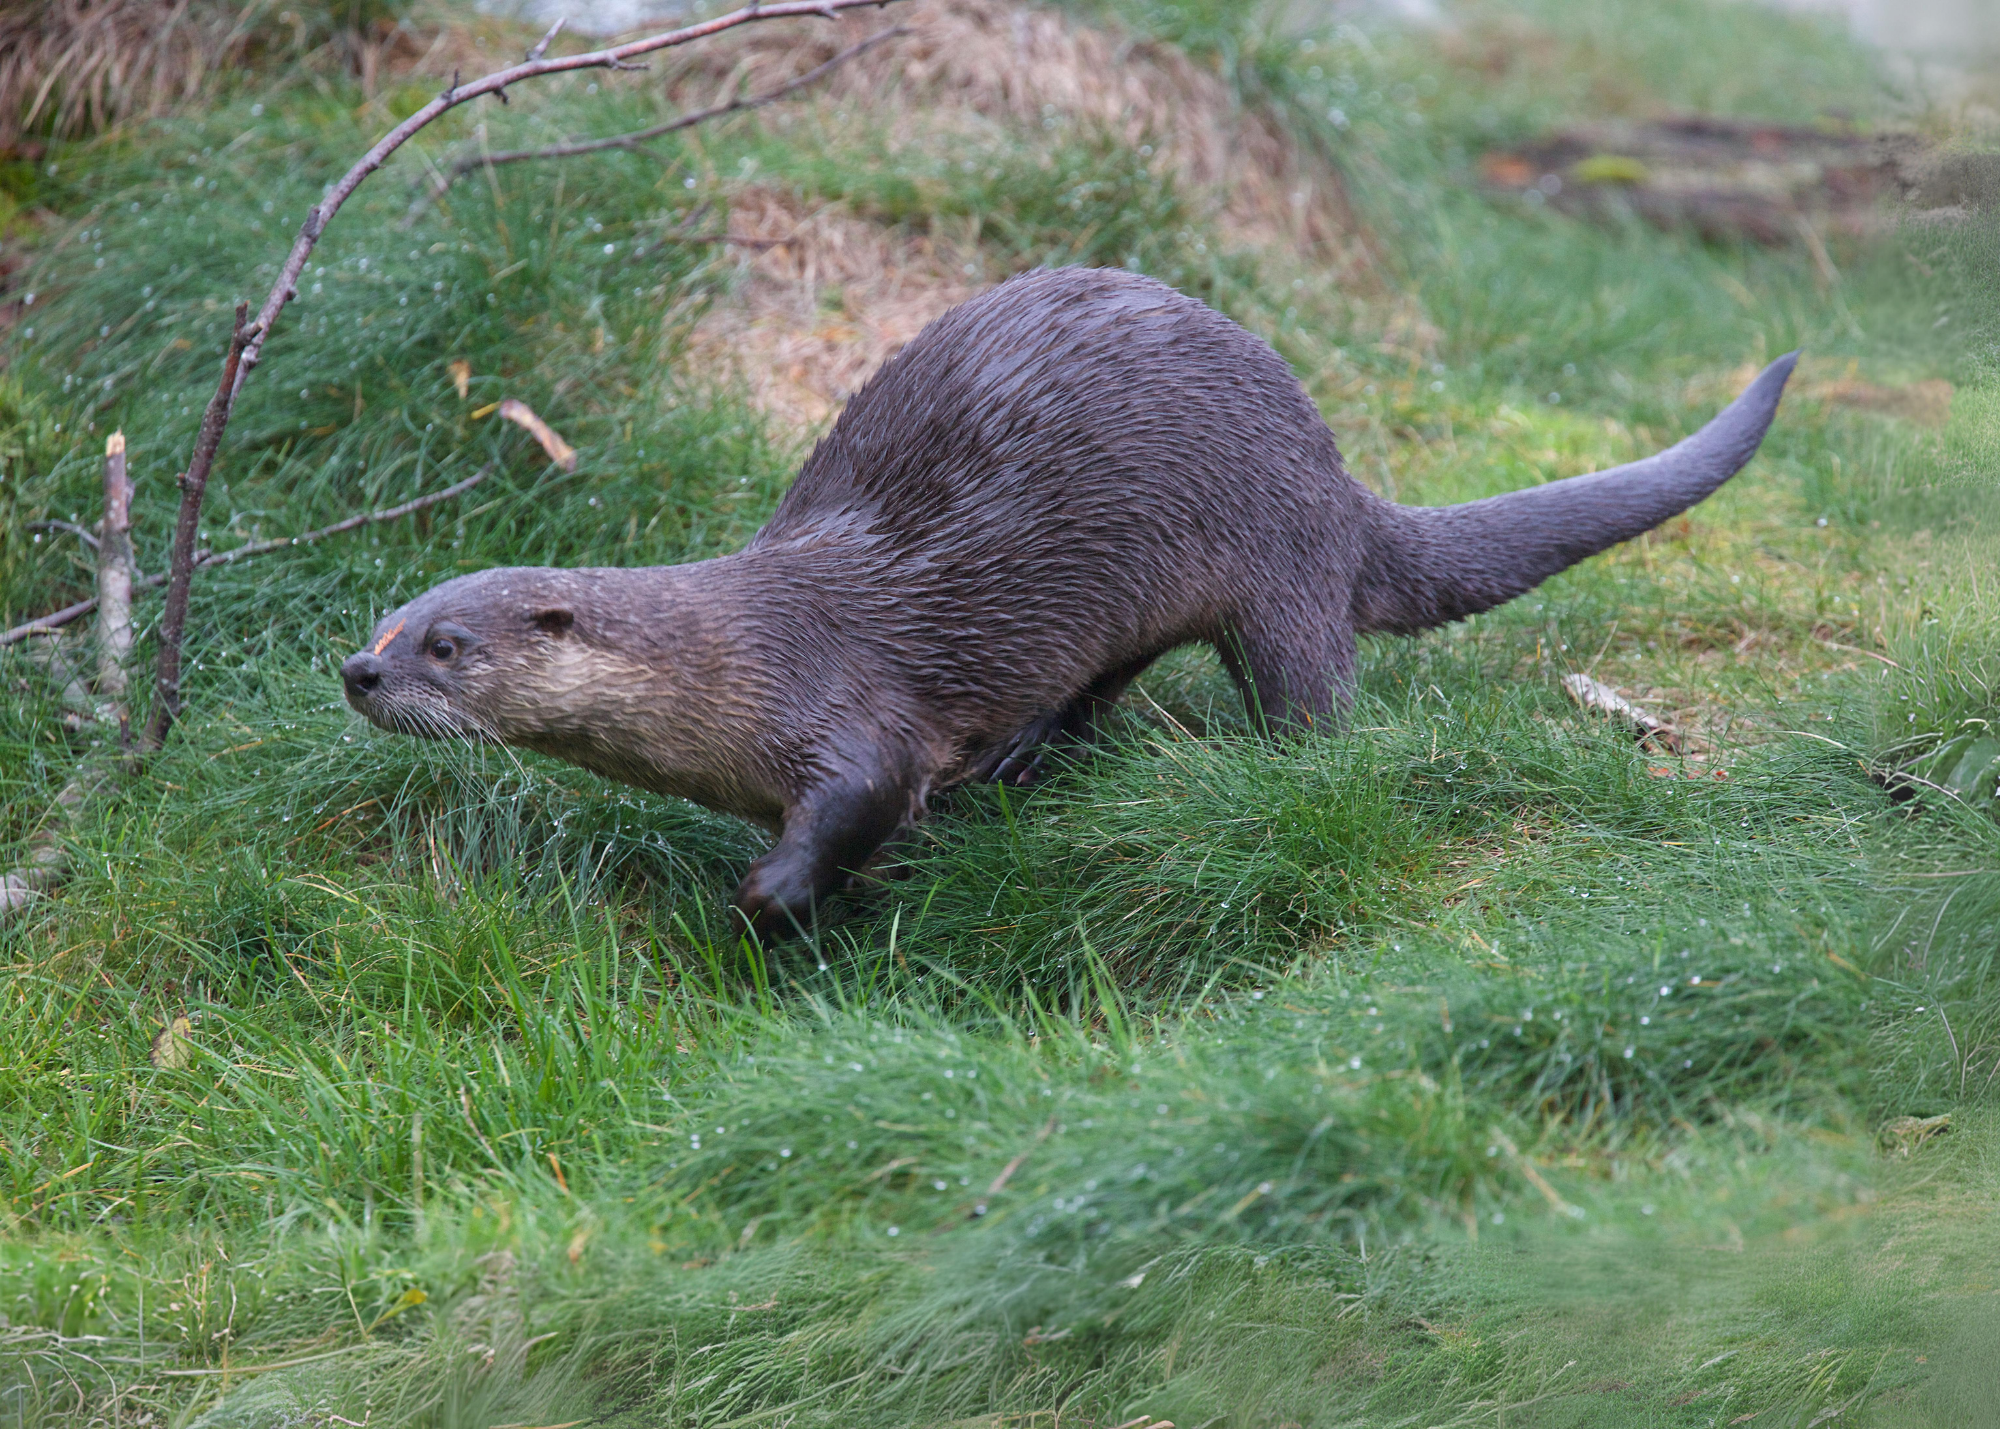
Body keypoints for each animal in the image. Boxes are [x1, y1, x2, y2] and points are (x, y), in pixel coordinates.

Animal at [342, 267, 1797, 935]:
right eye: (381, 624)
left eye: (447, 645)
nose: (358, 674)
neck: (732, 659)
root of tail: (1333, 476)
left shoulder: (844, 713)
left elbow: (856, 800)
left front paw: (769, 899)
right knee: (1092, 686)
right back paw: (1025, 760)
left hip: (1275, 567)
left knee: (1313, 700)